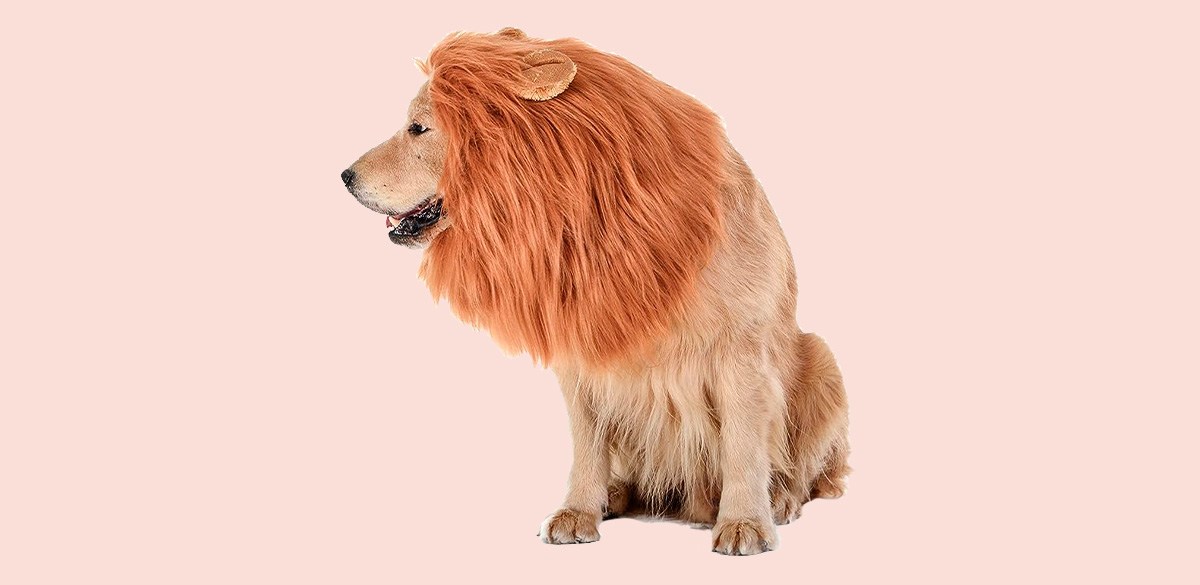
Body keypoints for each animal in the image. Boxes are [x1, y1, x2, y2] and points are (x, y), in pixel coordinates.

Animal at [340, 28, 849, 555]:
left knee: (807, 471)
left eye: (418, 128)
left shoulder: (740, 352)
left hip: (821, 359)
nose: (345, 176)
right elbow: (588, 445)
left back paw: (780, 501)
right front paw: (578, 511)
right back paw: (616, 493)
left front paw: (745, 521)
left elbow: (743, 445)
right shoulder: (583, 353)